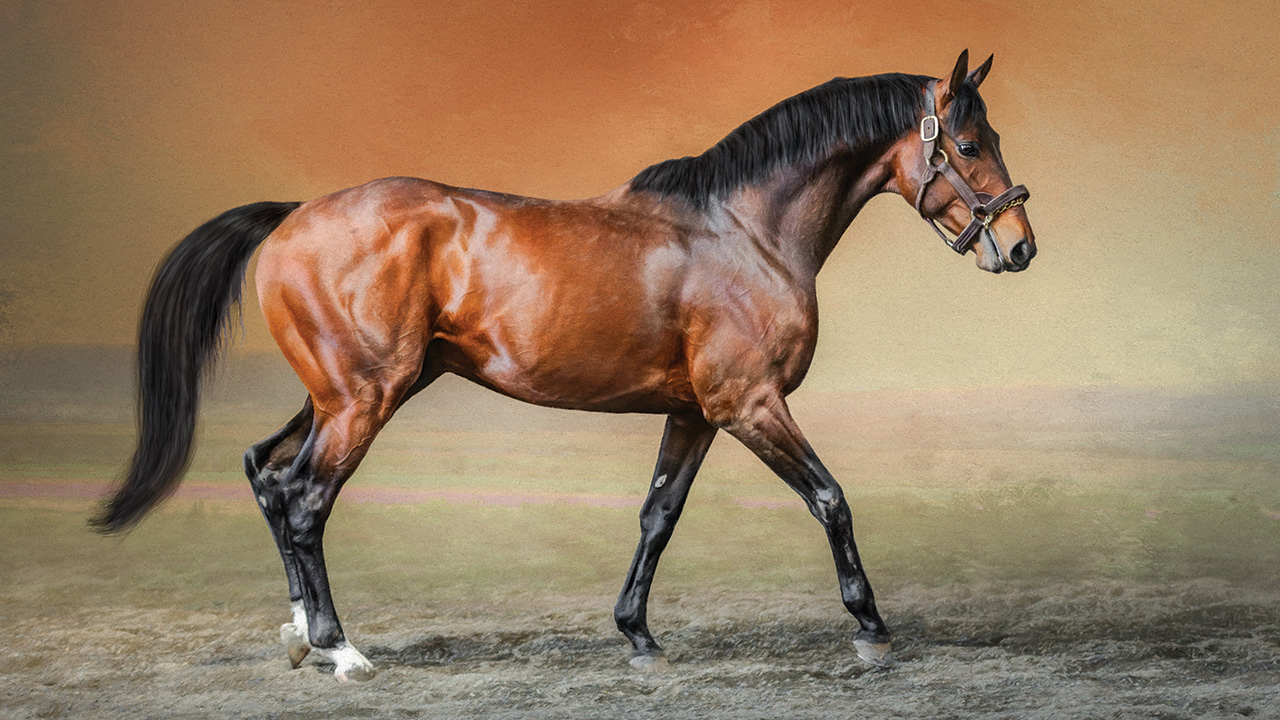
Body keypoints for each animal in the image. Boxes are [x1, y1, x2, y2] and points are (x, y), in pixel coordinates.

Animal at [93, 50, 1035, 682]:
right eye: (968, 143)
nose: (1022, 245)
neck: (741, 231)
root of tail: (293, 217)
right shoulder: (751, 405)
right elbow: (831, 498)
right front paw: (870, 627)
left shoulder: (695, 413)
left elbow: (658, 517)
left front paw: (638, 636)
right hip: (364, 398)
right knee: (303, 500)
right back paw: (341, 649)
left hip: (339, 394)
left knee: (263, 472)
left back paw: (298, 636)